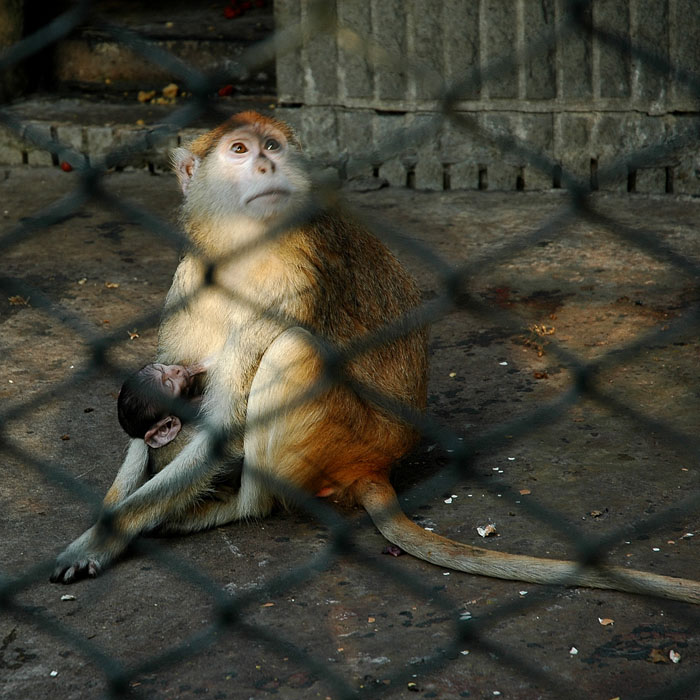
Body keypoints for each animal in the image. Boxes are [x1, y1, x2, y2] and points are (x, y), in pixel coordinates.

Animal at [52, 112, 700, 604]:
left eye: (272, 147)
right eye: (239, 150)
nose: (266, 165)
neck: (243, 245)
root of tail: (378, 462)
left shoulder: (291, 281)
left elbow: (222, 425)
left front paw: (102, 538)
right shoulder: (192, 275)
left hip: (343, 436)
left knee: (292, 350)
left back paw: (243, 507)